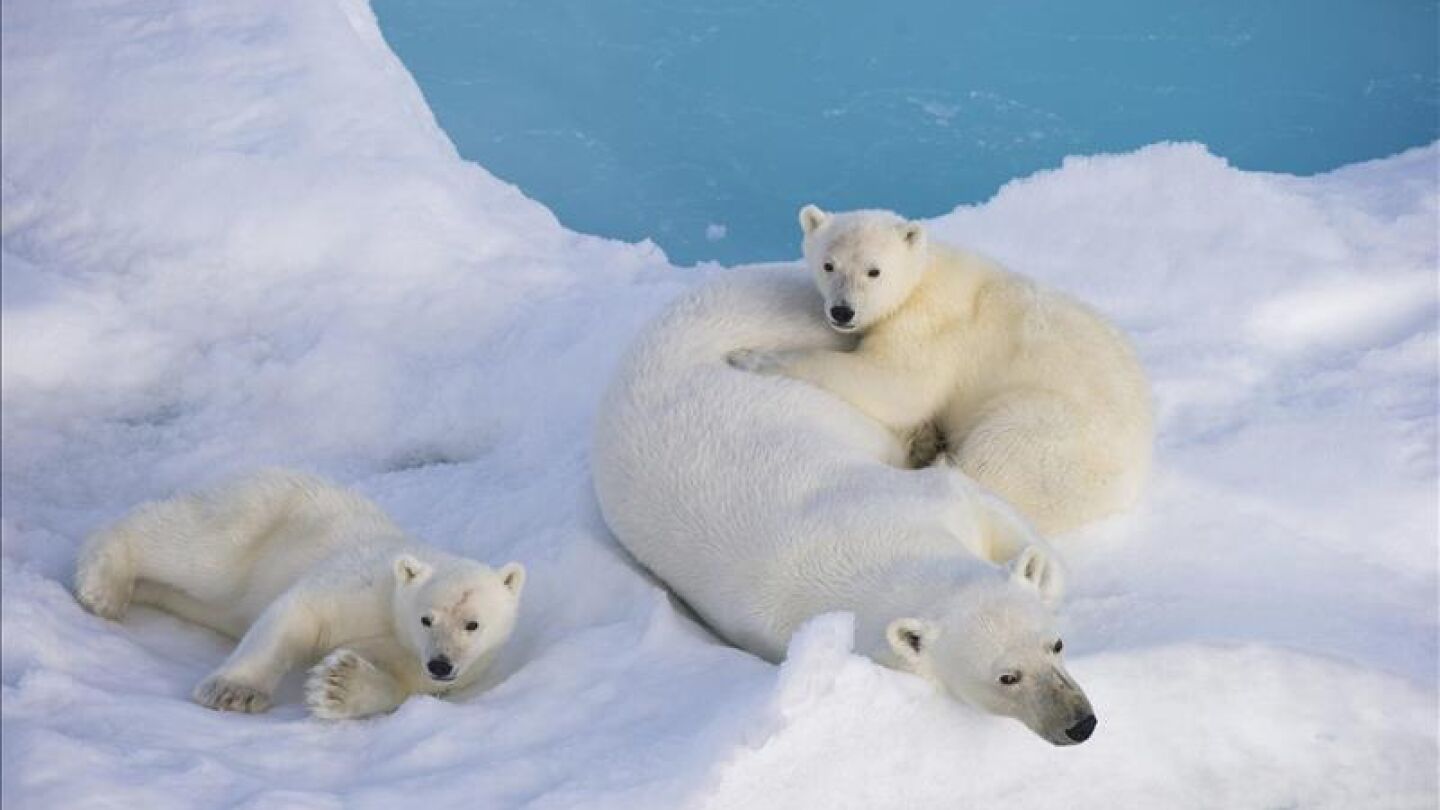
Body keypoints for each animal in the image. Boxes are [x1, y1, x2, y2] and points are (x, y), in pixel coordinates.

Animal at [74, 469, 526, 720]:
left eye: (473, 624)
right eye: (426, 618)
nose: (441, 664)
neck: (393, 617)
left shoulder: (417, 666)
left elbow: (396, 685)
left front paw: (339, 685)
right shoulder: (361, 581)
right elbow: (299, 612)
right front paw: (234, 692)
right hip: (257, 519)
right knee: (194, 550)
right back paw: (104, 585)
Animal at [593, 267, 1097, 745]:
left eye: (1055, 644)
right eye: (1006, 676)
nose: (1080, 724)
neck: (871, 545)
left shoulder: (923, 499)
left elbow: (984, 505)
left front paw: (1038, 569)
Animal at [729, 206, 1153, 537]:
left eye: (874, 271)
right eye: (828, 264)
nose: (842, 311)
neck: (923, 274)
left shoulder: (932, 326)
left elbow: (898, 386)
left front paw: (751, 357)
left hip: (1048, 432)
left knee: (995, 455)